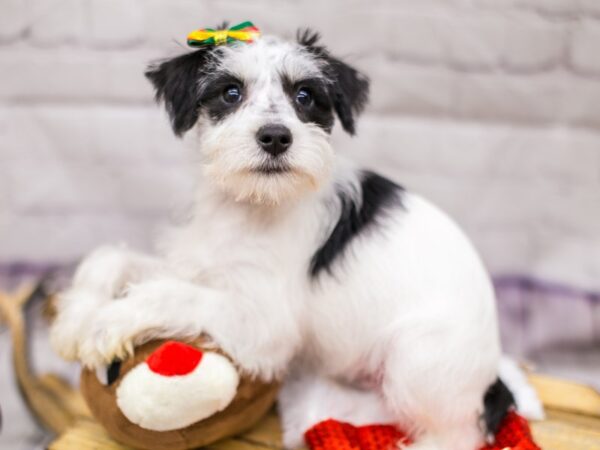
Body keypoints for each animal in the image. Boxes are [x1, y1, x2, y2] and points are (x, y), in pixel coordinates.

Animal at [50, 29, 540, 448]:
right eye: (230, 93)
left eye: (305, 97)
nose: (275, 136)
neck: (248, 204)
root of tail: (490, 376)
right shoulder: (195, 263)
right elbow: (110, 258)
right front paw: (76, 318)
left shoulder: (265, 324)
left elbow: (170, 294)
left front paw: (109, 322)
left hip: (415, 359)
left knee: (457, 435)